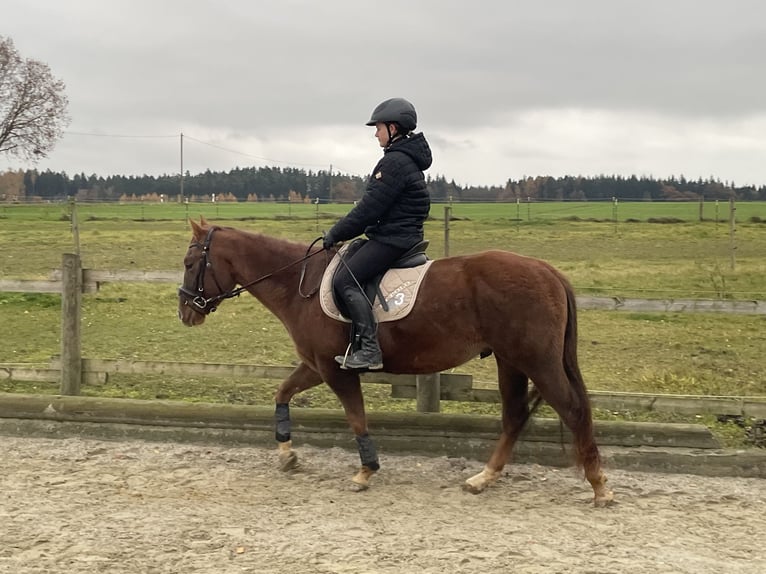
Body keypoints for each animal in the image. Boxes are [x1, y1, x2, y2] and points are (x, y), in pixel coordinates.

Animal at [177, 219, 616, 508]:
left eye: (189, 263)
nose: (186, 312)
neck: (300, 283)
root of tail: (547, 270)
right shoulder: (317, 366)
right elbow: (281, 392)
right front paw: (286, 455)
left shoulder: (336, 370)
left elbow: (356, 418)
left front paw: (365, 471)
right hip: (510, 361)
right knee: (514, 415)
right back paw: (483, 479)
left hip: (535, 361)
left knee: (573, 410)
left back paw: (599, 486)